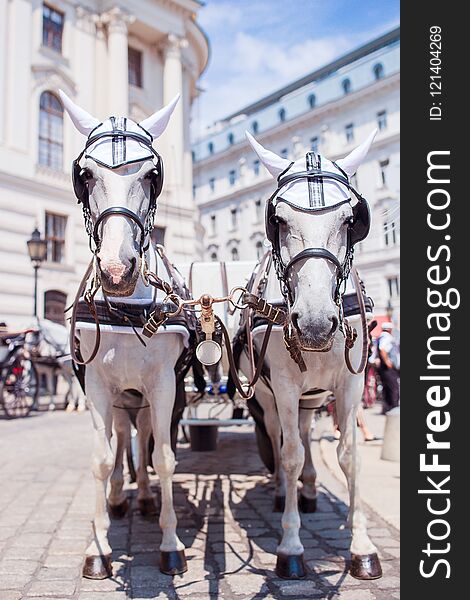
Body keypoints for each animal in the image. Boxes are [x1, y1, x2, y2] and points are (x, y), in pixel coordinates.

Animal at [59, 91, 190, 580]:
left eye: (152, 175)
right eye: (85, 175)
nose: (117, 271)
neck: (127, 308)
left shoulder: (164, 385)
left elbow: (163, 457)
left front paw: (170, 543)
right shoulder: (98, 385)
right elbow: (101, 458)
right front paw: (98, 547)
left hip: (147, 396)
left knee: (145, 437)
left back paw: (147, 498)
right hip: (120, 396)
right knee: (120, 440)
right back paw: (118, 497)